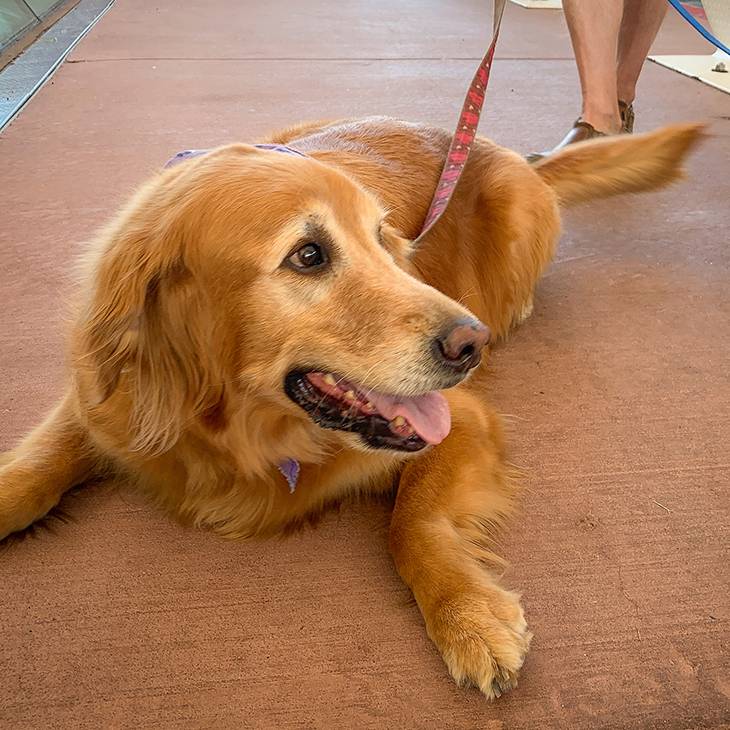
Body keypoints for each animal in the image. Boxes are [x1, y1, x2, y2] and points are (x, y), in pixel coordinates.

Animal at [2, 116, 704, 696]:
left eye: (383, 239)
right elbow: (35, 466)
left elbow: (411, 522)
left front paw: (471, 618)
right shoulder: (98, 404)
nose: (470, 342)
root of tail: (500, 152)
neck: (243, 432)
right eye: (308, 255)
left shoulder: (461, 419)